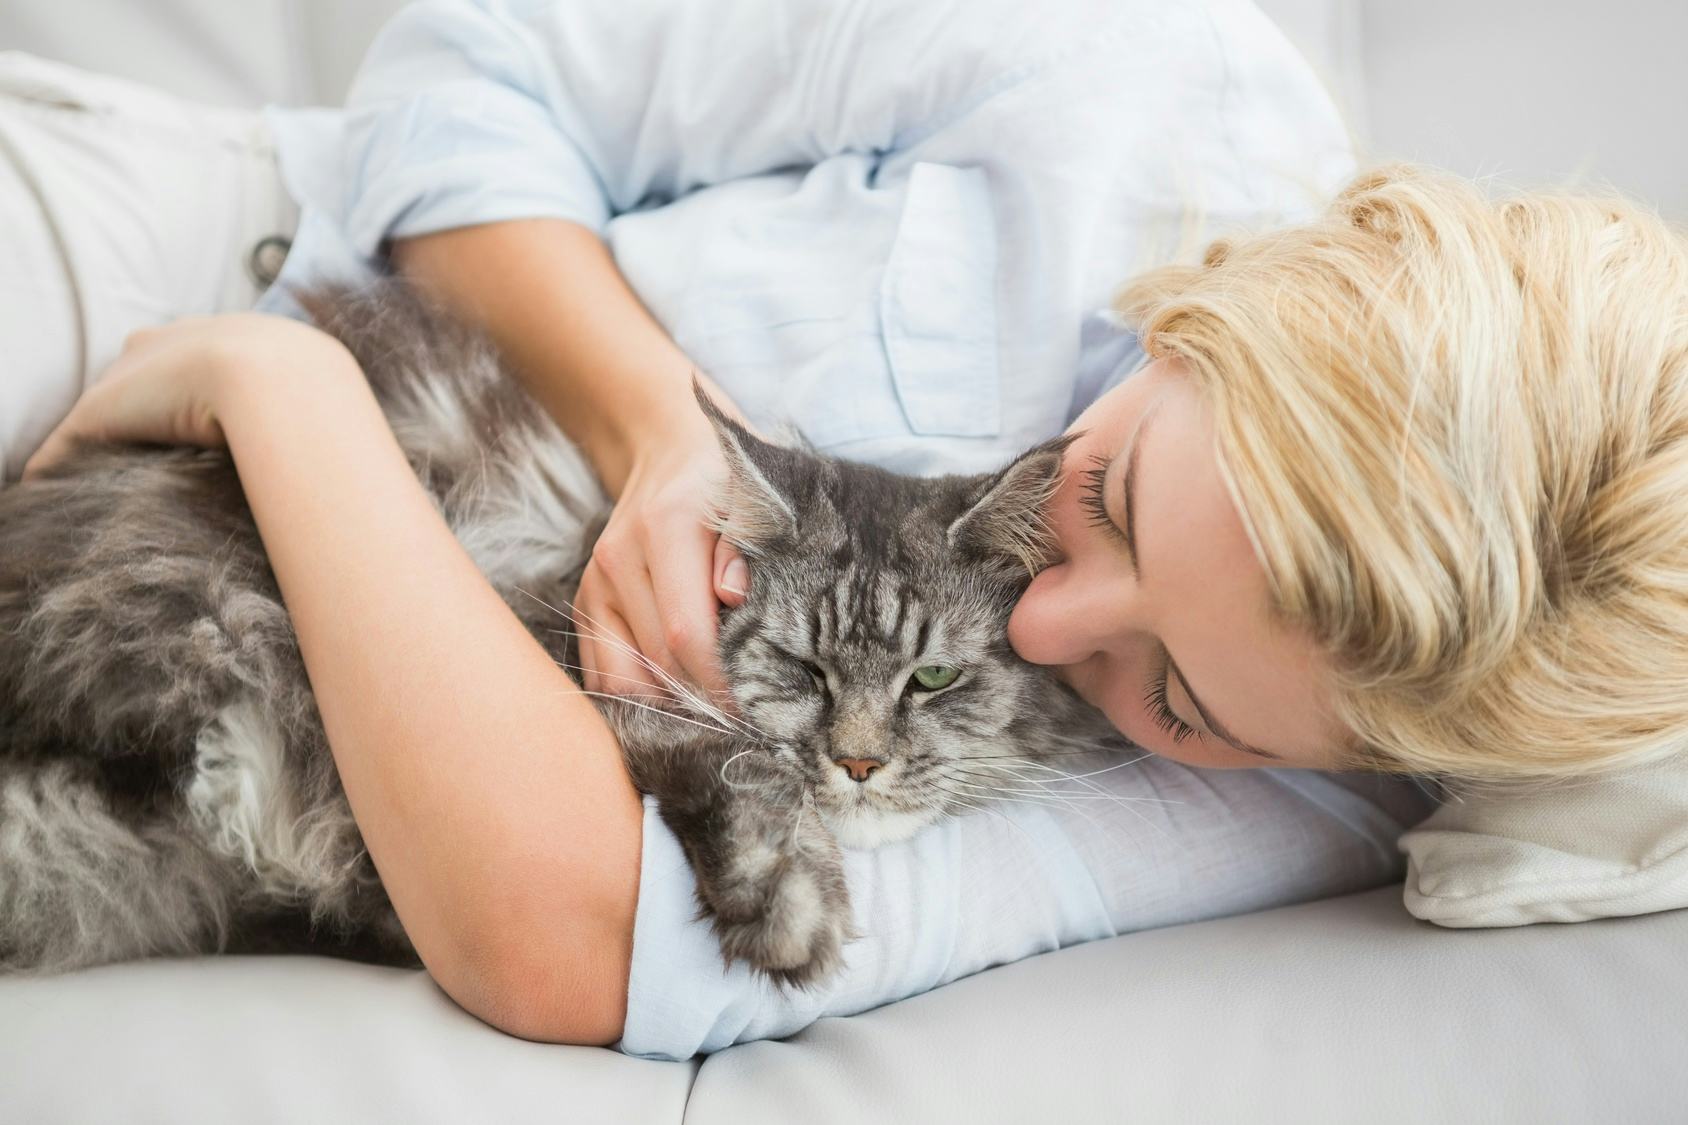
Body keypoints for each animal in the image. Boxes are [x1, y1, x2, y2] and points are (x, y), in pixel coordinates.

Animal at [0, 282, 1118, 987]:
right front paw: (785, 904)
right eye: (802, 665)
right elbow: (728, 760)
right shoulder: (584, 666)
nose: (855, 764)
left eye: (931, 678)